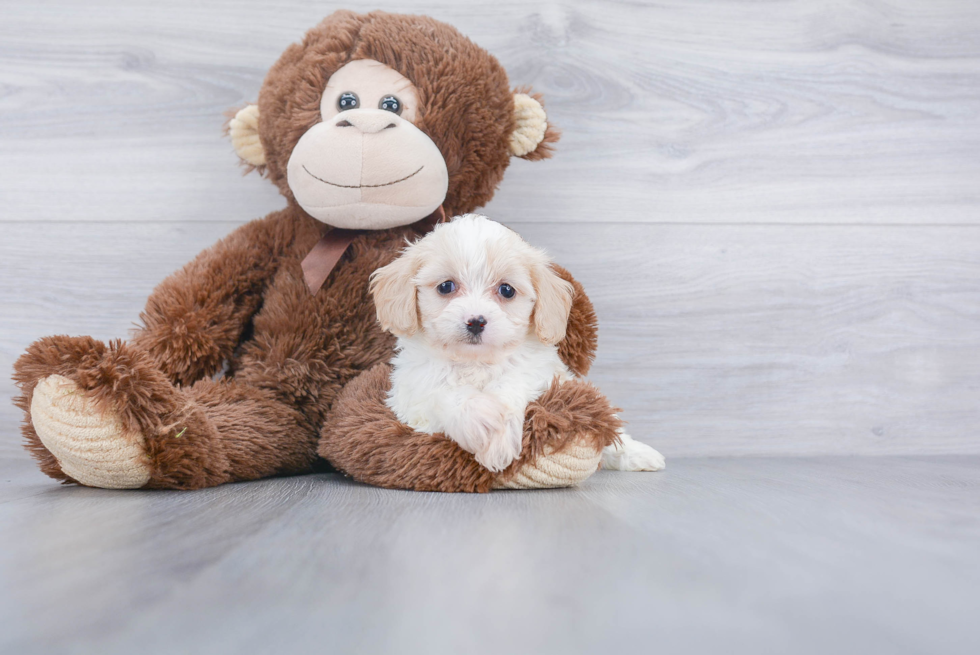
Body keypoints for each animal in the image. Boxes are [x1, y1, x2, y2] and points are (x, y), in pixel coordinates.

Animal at [370, 218, 668, 474]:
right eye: (446, 287)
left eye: (506, 290)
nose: (476, 321)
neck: (475, 362)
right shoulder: (411, 398)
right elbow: (444, 393)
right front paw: (485, 423)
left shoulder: (543, 376)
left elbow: (512, 382)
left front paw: (498, 440)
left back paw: (640, 454)